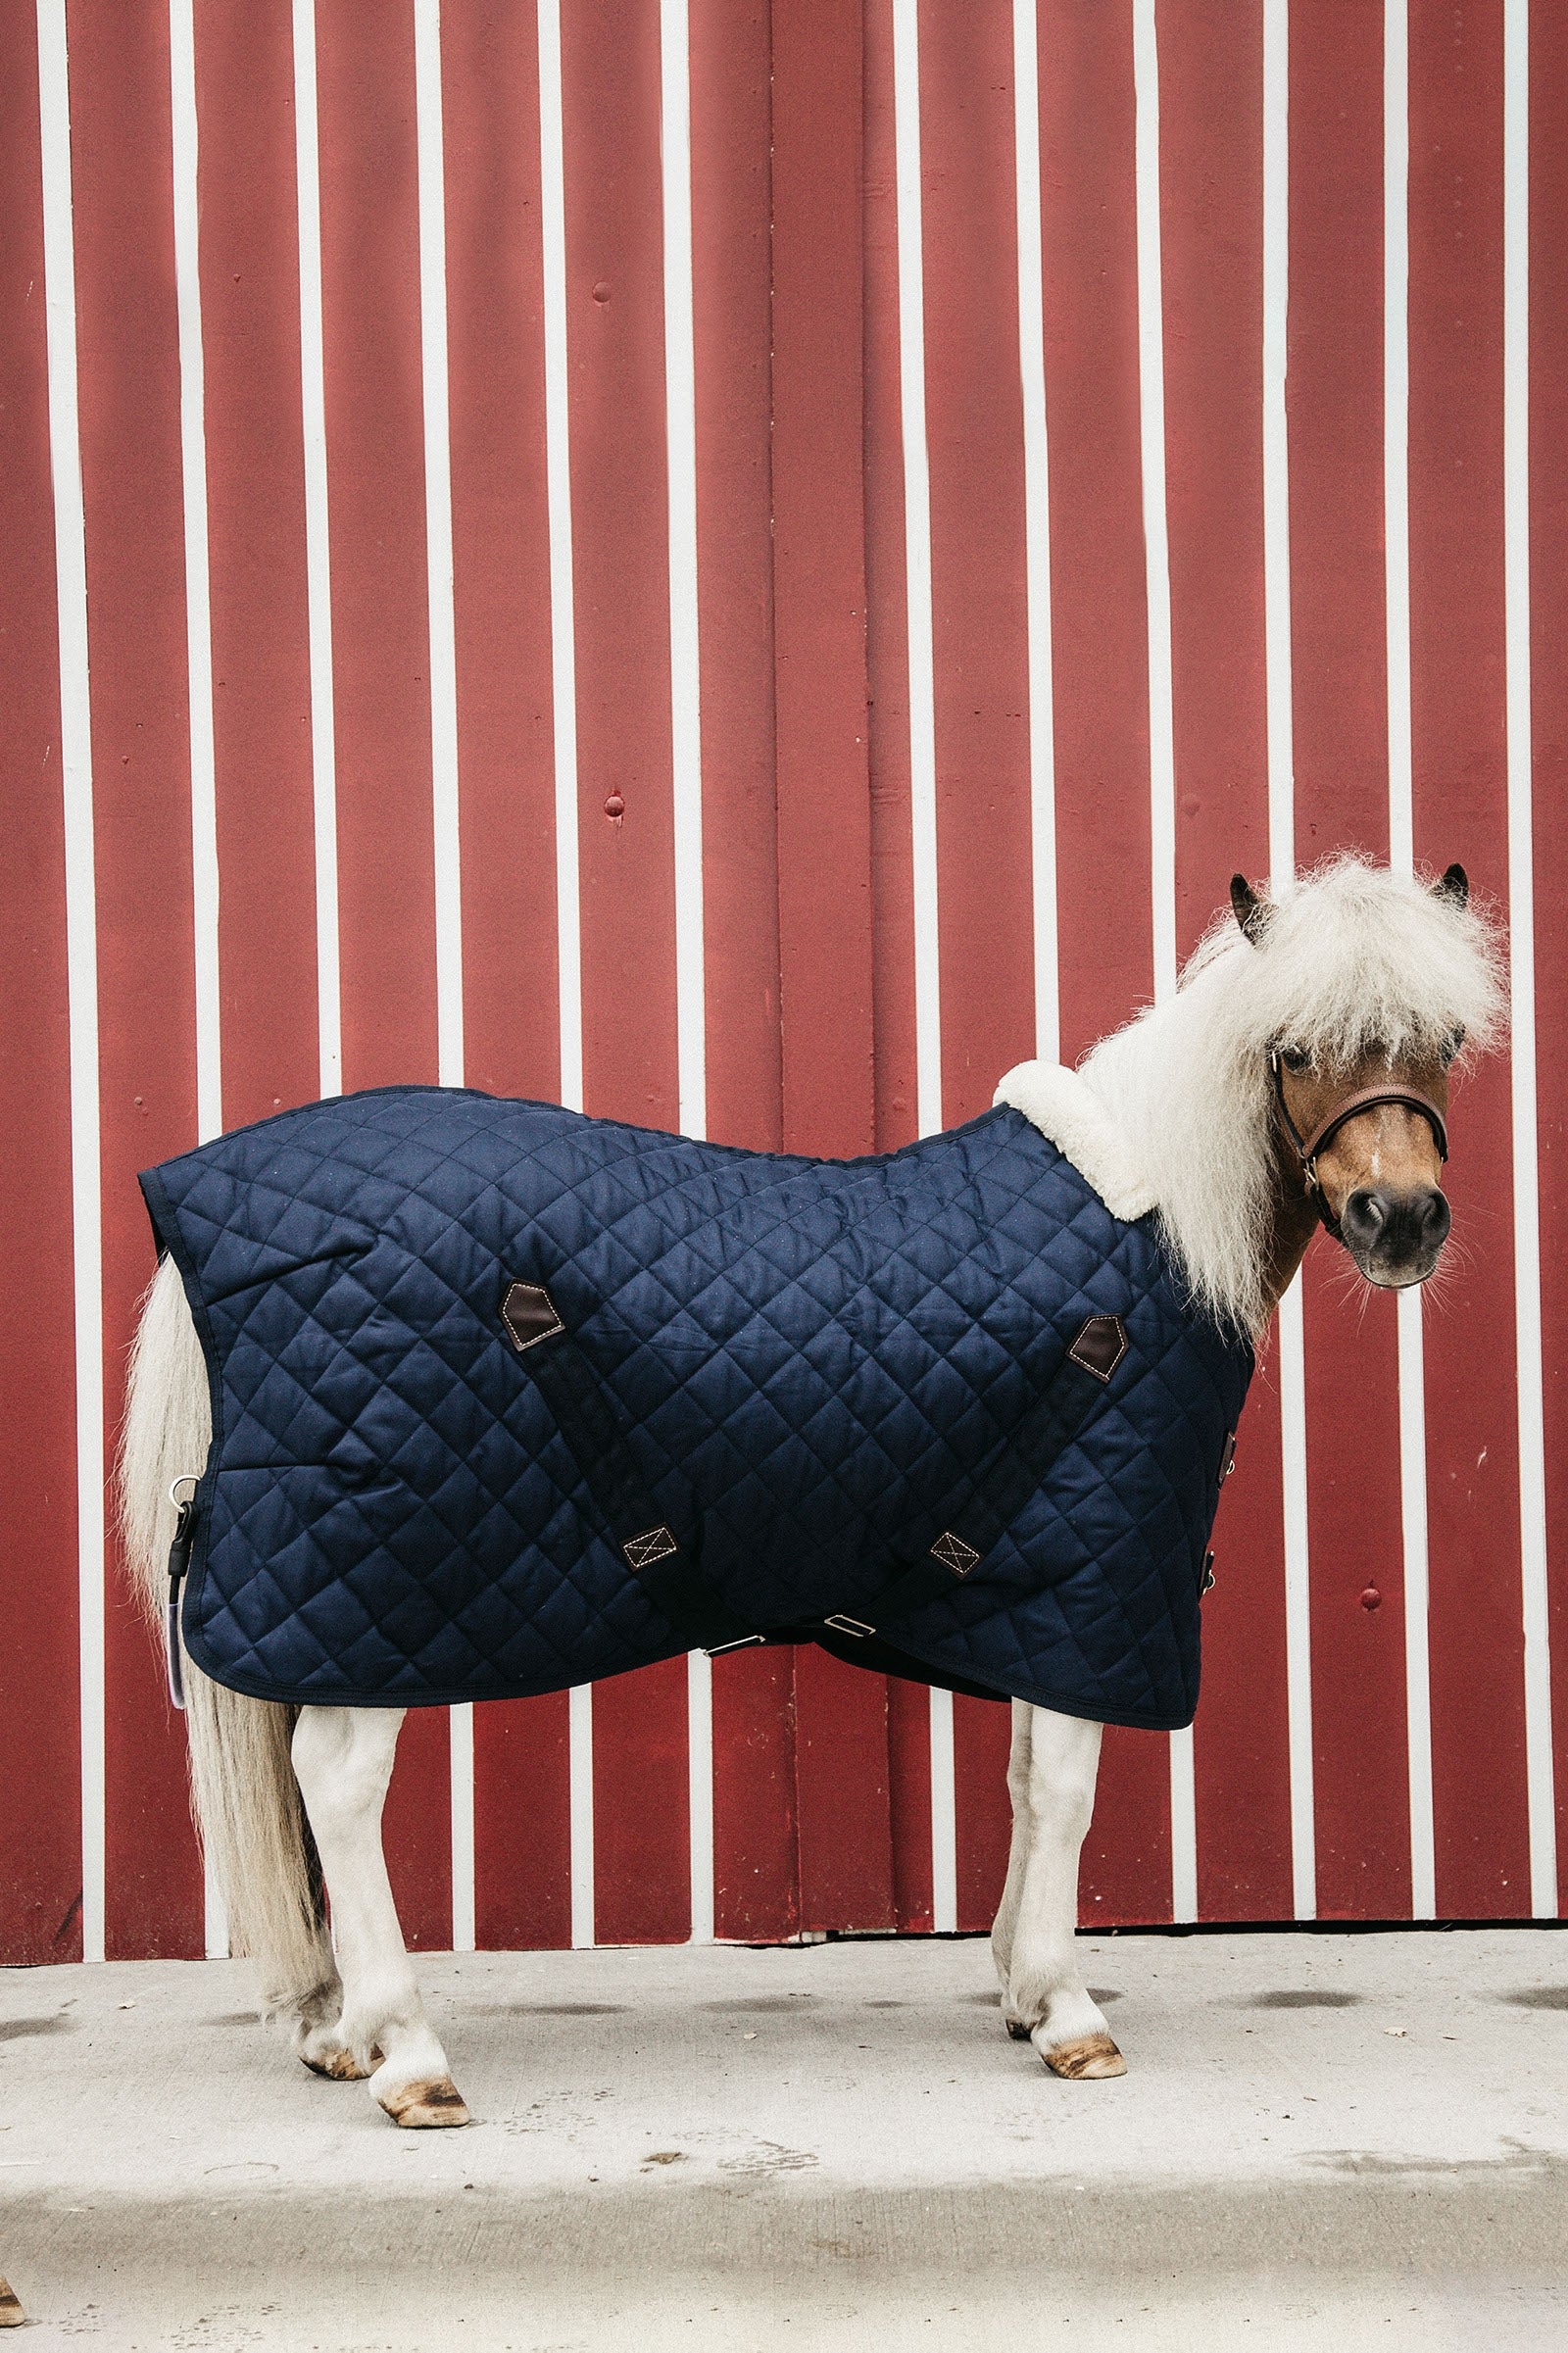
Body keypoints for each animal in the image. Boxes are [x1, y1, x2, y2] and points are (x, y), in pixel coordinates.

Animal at [119, 855, 1503, 2127]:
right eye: (1293, 1048)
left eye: (1439, 1043)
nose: (1398, 1222)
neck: (1150, 1229)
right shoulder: (1093, 1580)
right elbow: (1064, 1795)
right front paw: (1067, 2012)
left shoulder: (1035, 1600)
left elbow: (1020, 1783)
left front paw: (1017, 1988)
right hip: (390, 1585)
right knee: (340, 1786)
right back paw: (408, 2051)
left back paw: (335, 2029)